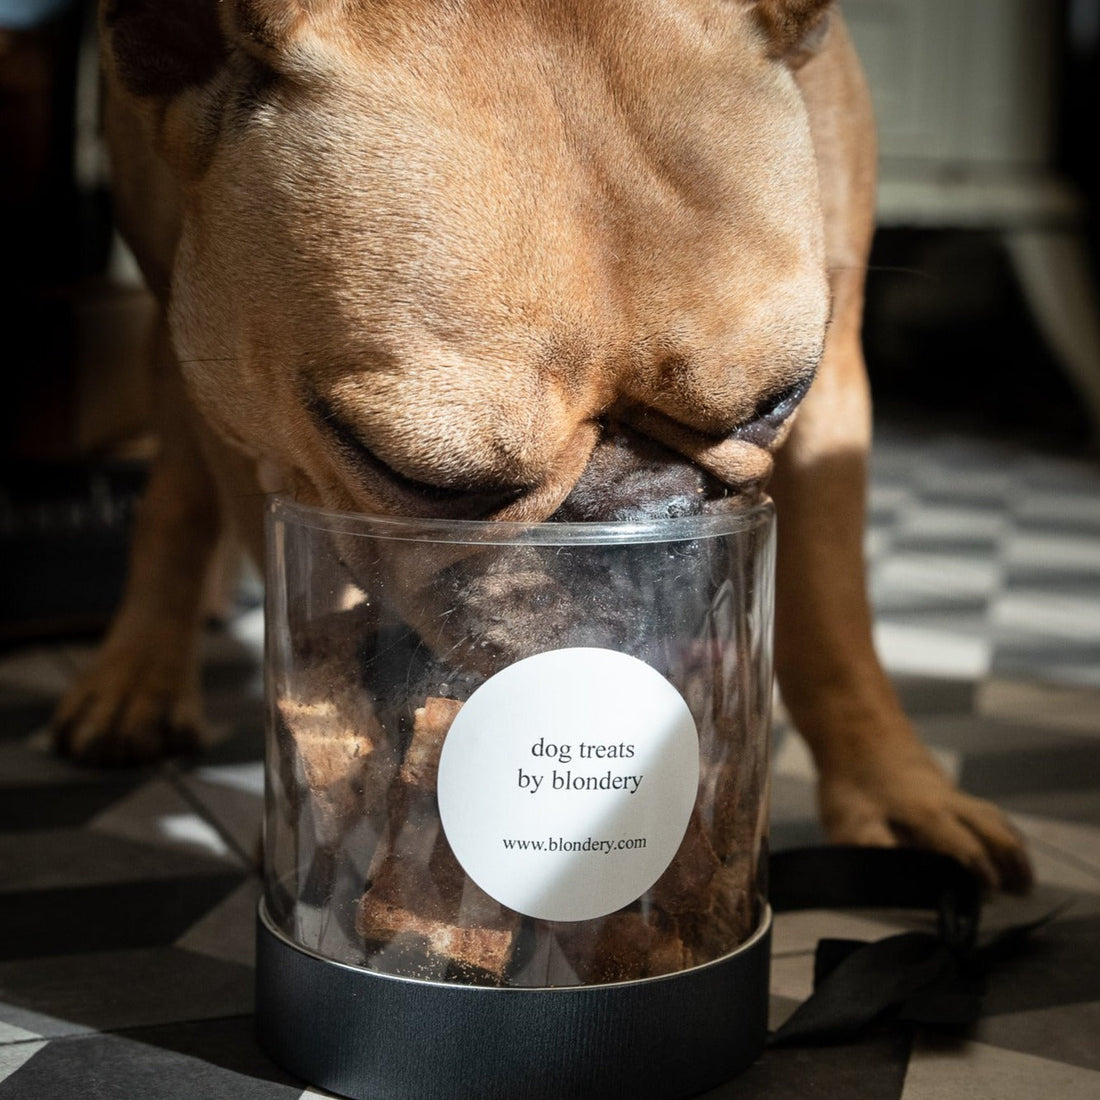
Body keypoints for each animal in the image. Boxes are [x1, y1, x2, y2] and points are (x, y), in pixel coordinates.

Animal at [51, 0, 1029, 893]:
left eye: (772, 403)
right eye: (426, 480)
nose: (653, 517)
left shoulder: (835, 373)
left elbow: (829, 609)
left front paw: (893, 792)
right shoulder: (261, 428)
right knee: (176, 491)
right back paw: (142, 669)